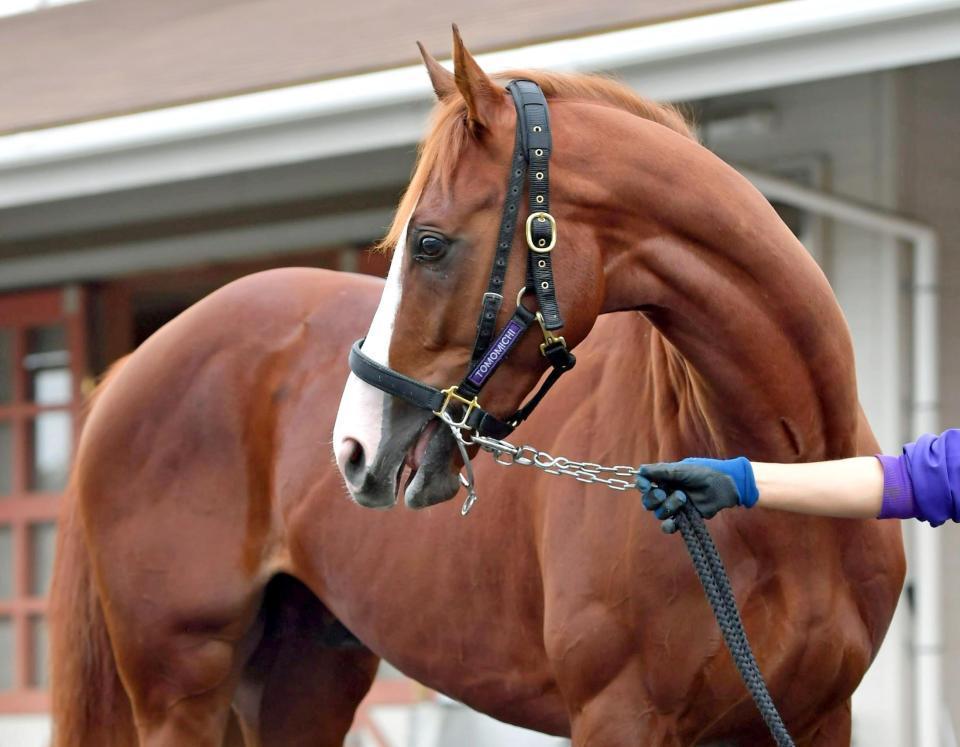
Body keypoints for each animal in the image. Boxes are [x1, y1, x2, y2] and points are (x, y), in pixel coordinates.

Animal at [50, 30, 908, 747]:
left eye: (429, 243)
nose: (352, 447)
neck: (784, 486)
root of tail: (132, 368)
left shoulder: (816, 720)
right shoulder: (621, 718)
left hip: (304, 680)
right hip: (180, 685)